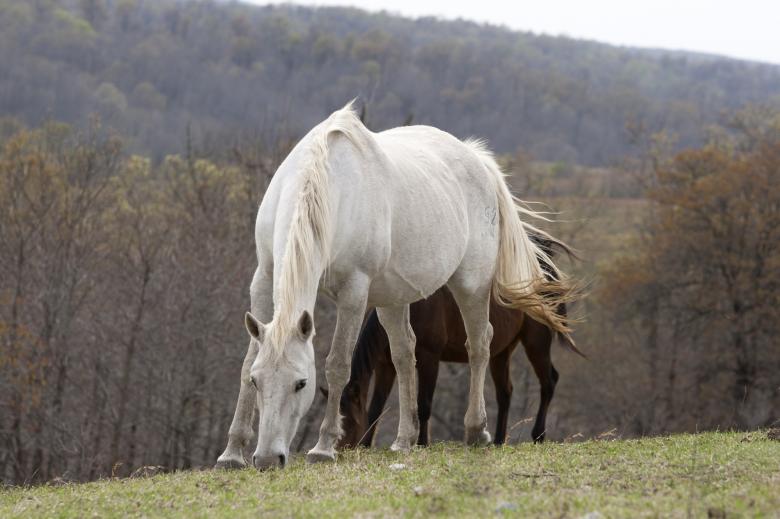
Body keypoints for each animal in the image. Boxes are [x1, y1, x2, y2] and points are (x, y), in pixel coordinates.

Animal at [215, 102, 575, 470]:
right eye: (258, 381)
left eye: (301, 383)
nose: (268, 459)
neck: (327, 186)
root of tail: (477, 159)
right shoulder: (264, 277)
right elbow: (248, 359)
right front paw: (232, 452)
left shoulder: (354, 293)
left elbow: (338, 364)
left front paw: (323, 447)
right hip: (393, 299)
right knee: (405, 353)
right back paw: (404, 440)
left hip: (471, 284)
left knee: (479, 345)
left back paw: (477, 431)